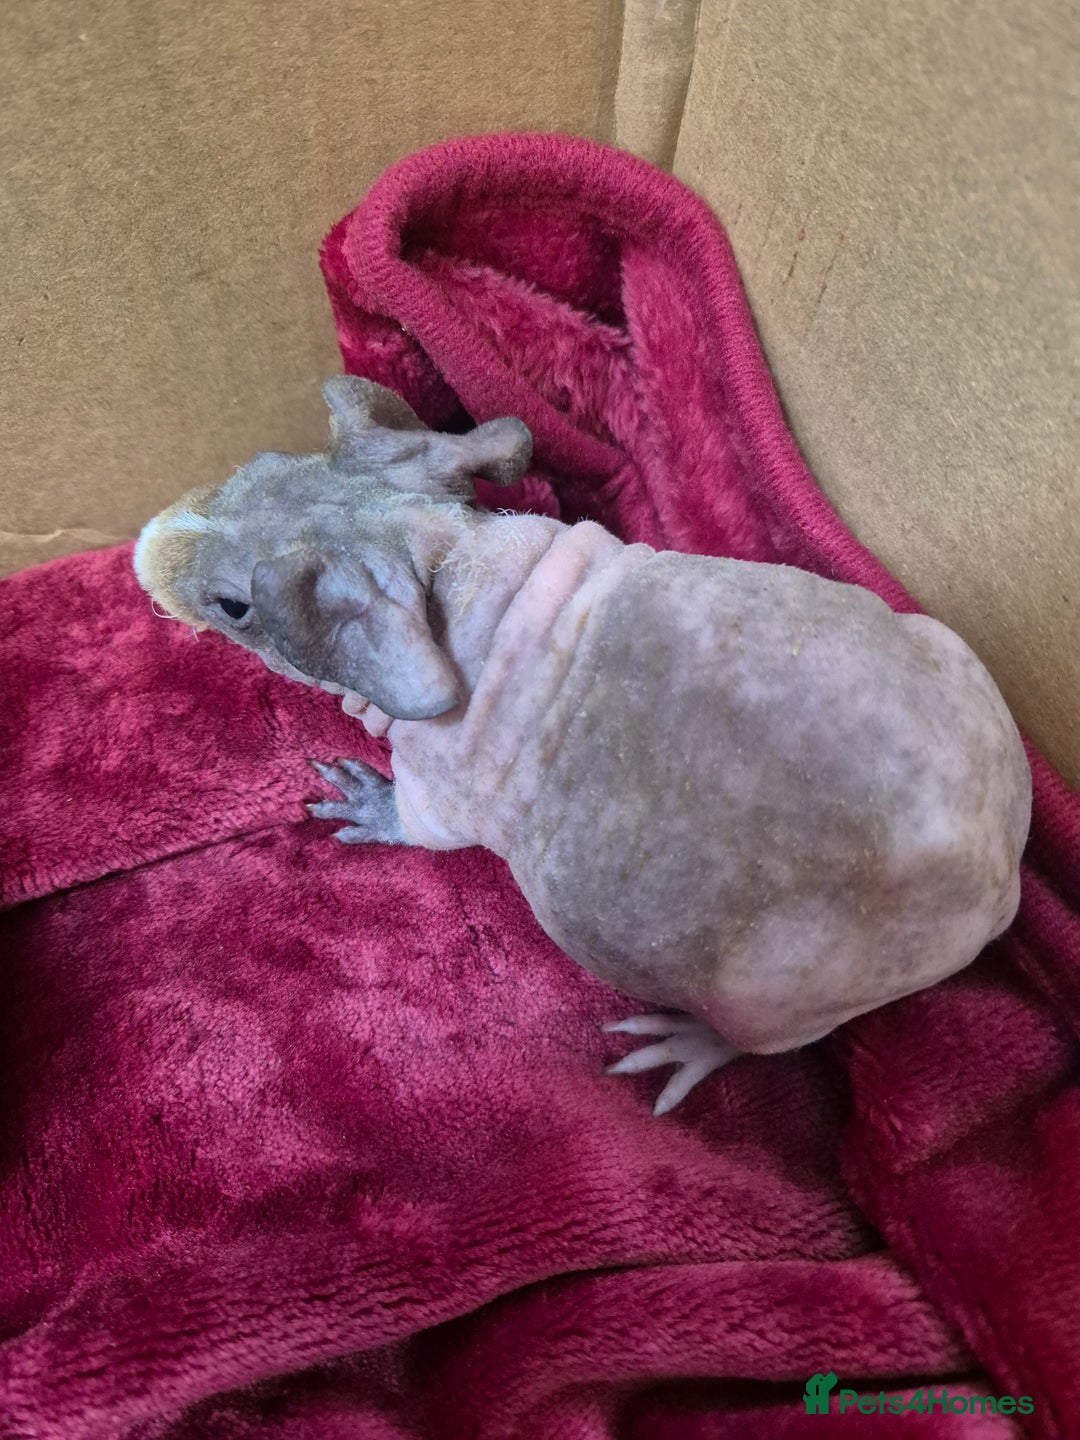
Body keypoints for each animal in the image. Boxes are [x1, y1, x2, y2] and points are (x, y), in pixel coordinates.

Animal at [133, 376, 1032, 1113]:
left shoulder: (443, 779)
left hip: (785, 990)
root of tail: (1000, 877)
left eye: (235, 606)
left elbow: (424, 823)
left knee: (763, 1035)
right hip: (950, 651)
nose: (144, 545)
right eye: (257, 462)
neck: (451, 557)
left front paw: (369, 802)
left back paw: (692, 1045)